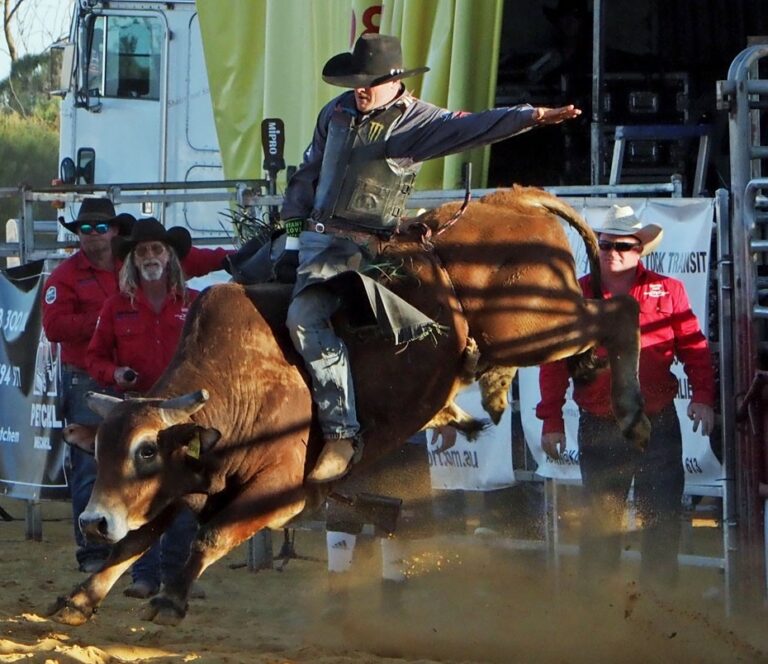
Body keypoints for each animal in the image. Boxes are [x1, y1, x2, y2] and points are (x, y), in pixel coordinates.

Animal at [48, 187, 648, 628]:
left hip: (534, 323)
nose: (93, 521)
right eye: (101, 450)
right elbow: (138, 539)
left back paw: (632, 414)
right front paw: (80, 598)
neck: (238, 386)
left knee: (619, 311)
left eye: (146, 451)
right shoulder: (185, 483)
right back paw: (491, 397)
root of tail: (513, 199)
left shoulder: (279, 487)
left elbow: (211, 534)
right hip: (520, 333)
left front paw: (170, 599)